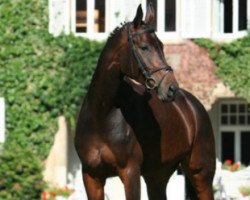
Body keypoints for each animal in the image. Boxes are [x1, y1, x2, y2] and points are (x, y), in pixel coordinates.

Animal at [74, 3, 215, 200]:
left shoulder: (130, 173)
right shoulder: (91, 176)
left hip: (201, 173)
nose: (171, 88)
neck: (101, 115)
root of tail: (194, 106)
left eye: (161, 46)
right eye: (144, 47)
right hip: (157, 176)